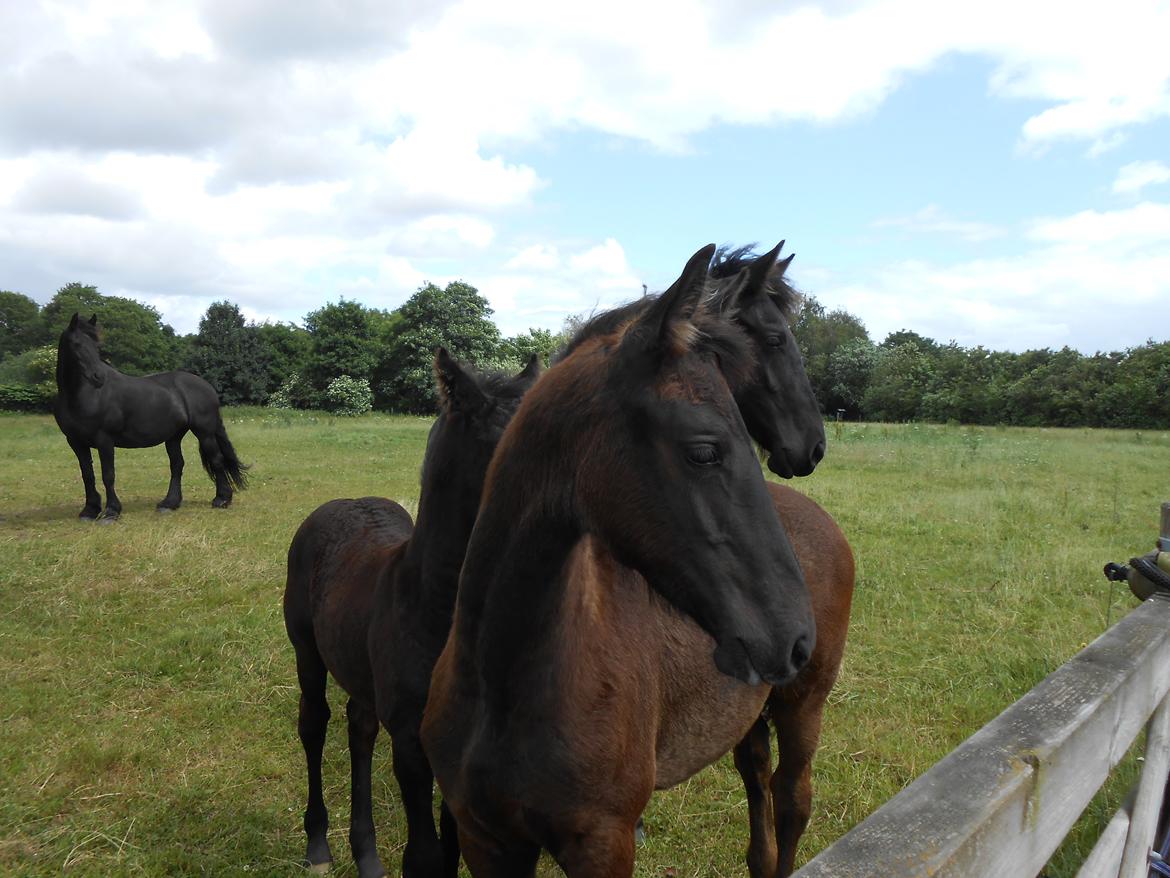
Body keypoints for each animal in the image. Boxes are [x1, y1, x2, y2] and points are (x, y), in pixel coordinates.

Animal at [54, 316, 249, 522]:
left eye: (97, 345)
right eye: (77, 344)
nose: (98, 377)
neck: (84, 396)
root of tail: (207, 386)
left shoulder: (104, 440)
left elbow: (108, 474)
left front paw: (111, 511)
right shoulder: (75, 442)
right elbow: (87, 475)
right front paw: (89, 510)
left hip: (205, 433)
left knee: (217, 460)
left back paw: (222, 499)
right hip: (174, 437)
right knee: (177, 465)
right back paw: (169, 503)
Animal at [283, 351, 538, 878]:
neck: (432, 611)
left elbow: (453, 848)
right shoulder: (410, 742)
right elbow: (424, 856)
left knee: (359, 729)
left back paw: (366, 854)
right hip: (306, 652)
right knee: (313, 724)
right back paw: (318, 844)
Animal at [421, 248, 814, 878]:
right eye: (704, 450)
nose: (796, 636)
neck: (501, 686)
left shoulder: (603, 842)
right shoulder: (486, 839)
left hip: (805, 705)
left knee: (792, 797)